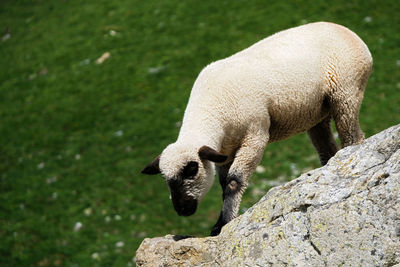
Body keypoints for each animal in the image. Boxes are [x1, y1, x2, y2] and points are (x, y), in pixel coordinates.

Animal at [141, 22, 372, 237]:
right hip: (316, 113)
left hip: (346, 92)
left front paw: (222, 224)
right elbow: (224, 184)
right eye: (165, 178)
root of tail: (349, 32)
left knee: (353, 137)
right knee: (327, 149)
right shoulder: (225, 151)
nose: (182, 209)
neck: (211, 111)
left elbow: (234, 181)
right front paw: (222, 221)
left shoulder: (255, 135)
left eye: (192, 169)